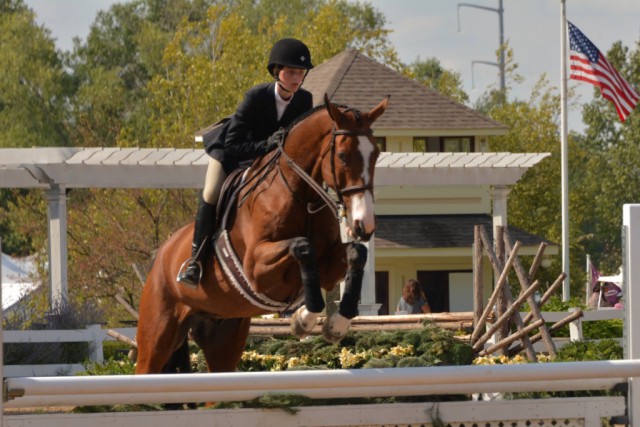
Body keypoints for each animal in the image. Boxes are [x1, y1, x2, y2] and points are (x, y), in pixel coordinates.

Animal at [135, 95, 388, 376]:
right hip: (156, 336)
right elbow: (303, 246)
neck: (300, 195)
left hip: (224, 340)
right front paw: (303, 320)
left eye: (376, 154)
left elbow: (357, 253)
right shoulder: (257, 270)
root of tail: (161, 255)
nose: (364, 224)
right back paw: (190, 272)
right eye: (342, 156)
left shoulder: (328, 265)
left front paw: (337, 324)